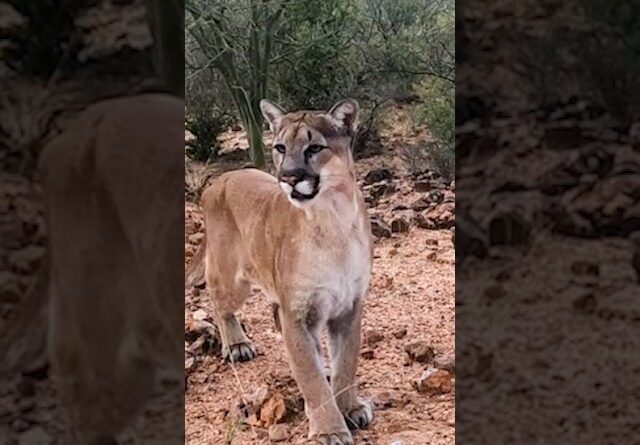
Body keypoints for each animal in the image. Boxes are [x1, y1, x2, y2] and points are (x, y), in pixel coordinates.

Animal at [187, 98, 374, 444]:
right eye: (280, 147)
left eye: (314, 148)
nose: (288, 177)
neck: (332, 220)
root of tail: (219, 179)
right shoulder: (297, 313)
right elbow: (310, 378)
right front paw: (330, 430)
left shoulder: (349, 306)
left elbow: (347, 362)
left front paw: (349, 407)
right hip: (233, 281)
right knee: (219, 302)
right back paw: (236, 344)